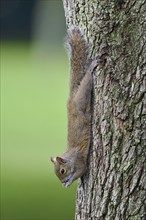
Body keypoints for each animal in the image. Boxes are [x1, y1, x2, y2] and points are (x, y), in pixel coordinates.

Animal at [50, 27, 98, 187]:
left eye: (62, 171)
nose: (62, 182)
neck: (70, 157)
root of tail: (71, 98)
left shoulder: (80, 162)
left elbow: (82, 170)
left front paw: (69, 182)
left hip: (81, 98)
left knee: (87, 81)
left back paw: (91, 68)